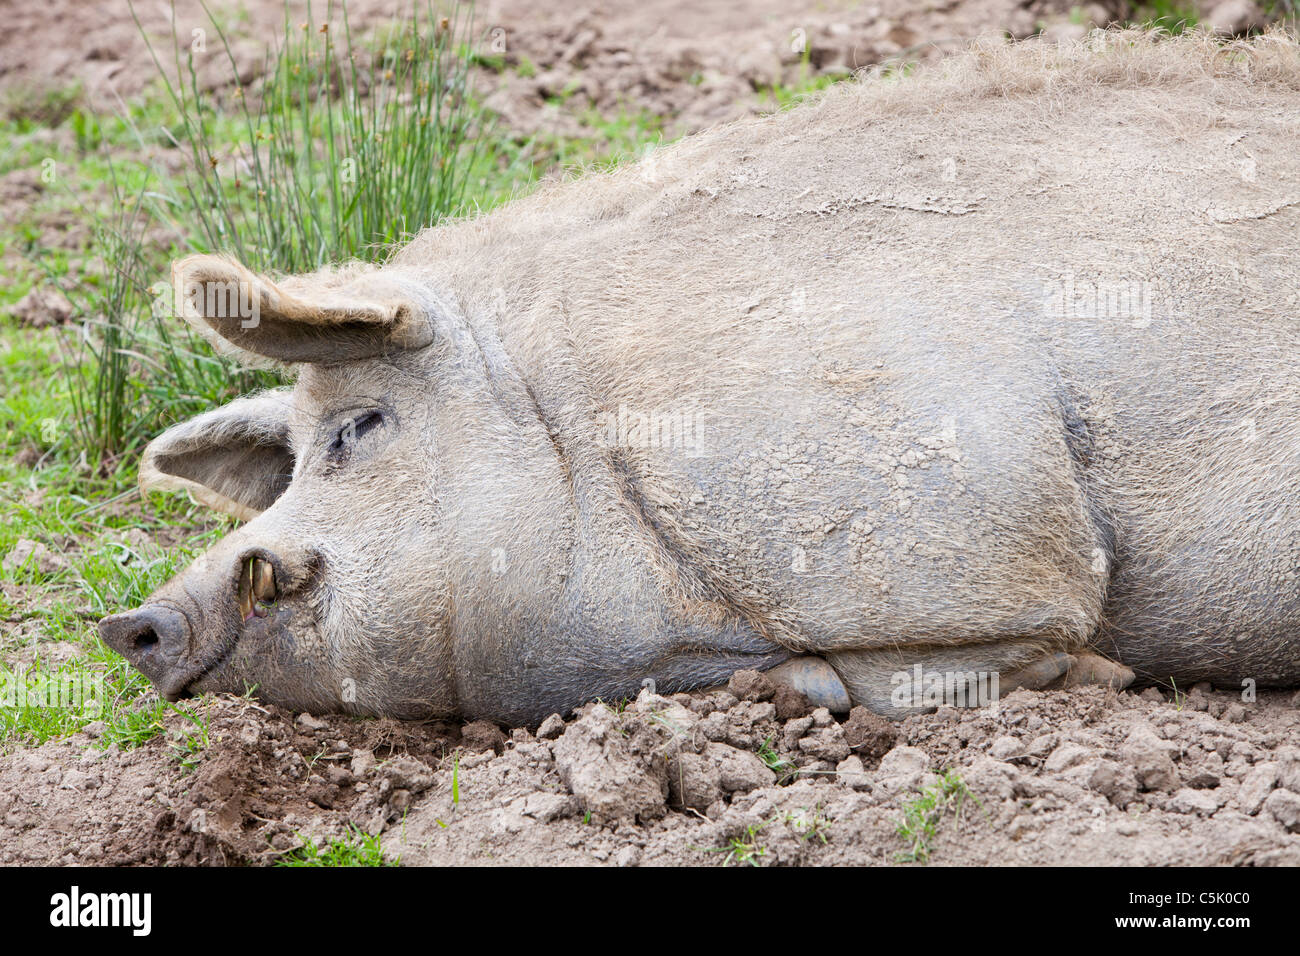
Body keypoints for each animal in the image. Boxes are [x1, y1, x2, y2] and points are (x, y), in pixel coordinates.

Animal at [98, 33, 1300, 723]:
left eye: (360, 428)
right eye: (296, 455)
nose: (134, 624)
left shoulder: (987, 541)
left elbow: (981, 656)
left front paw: (1108, 682)